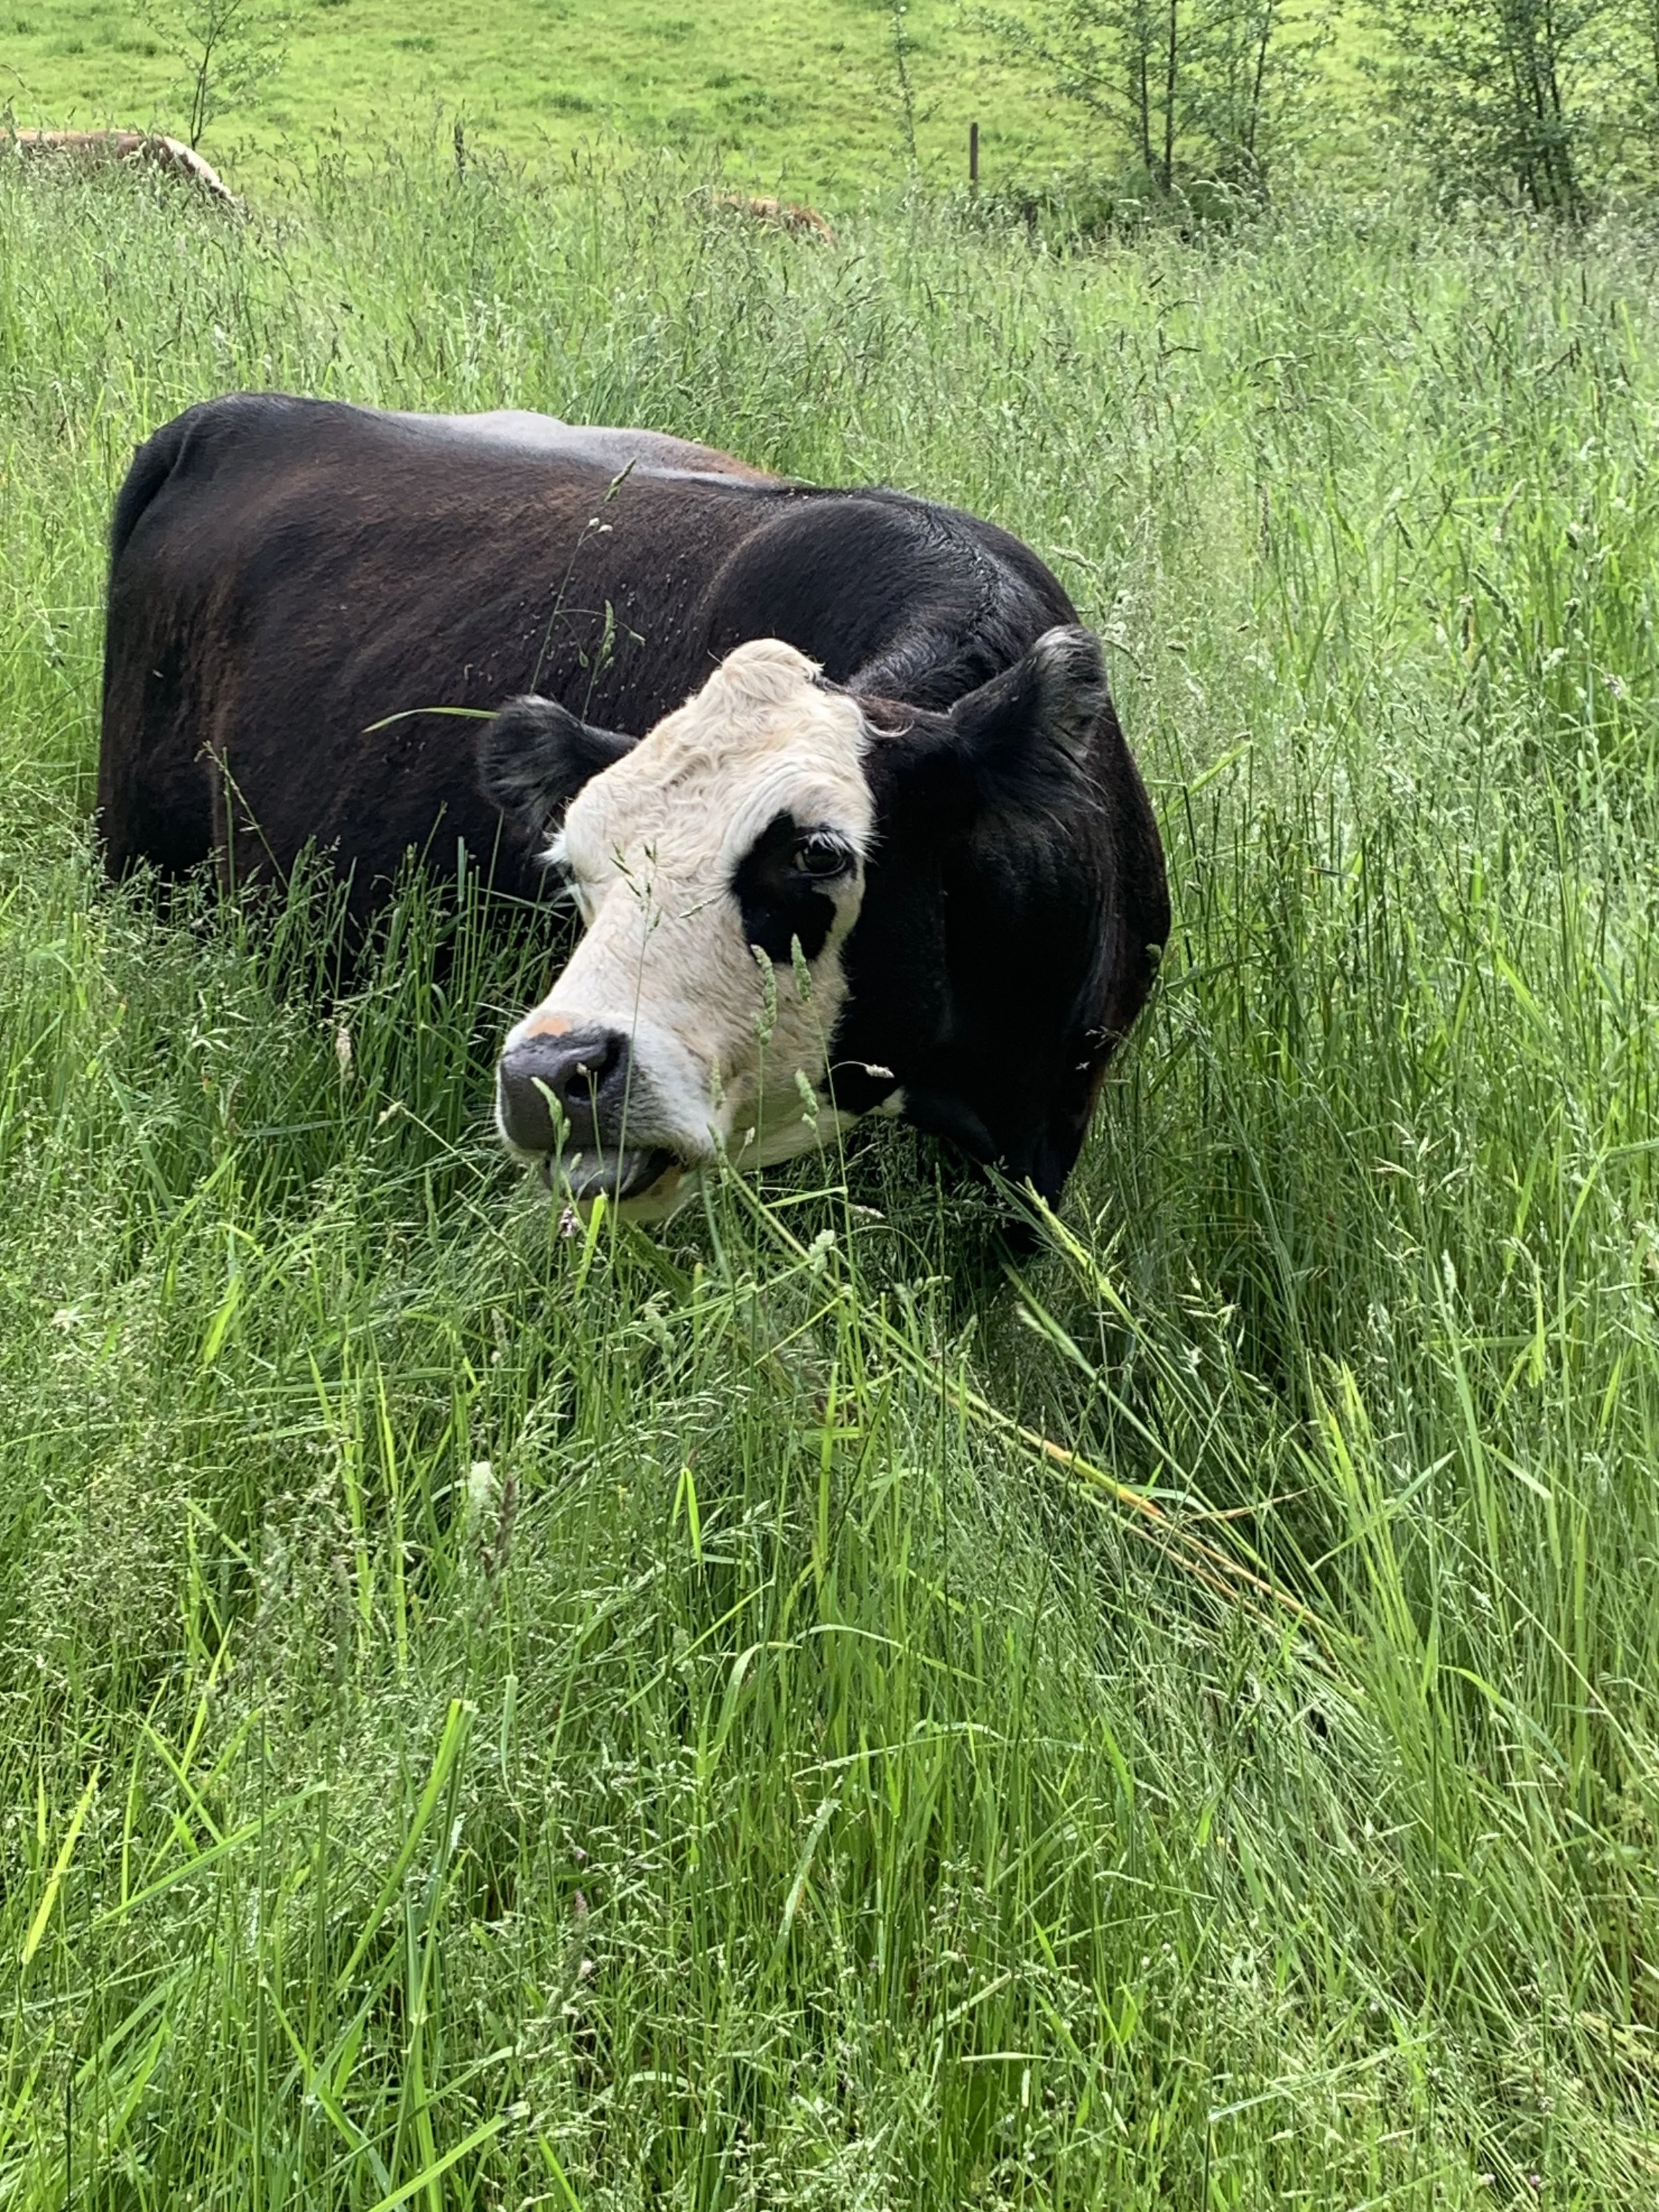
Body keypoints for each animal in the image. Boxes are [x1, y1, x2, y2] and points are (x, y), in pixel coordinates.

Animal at [99, 394, 1168, 1216]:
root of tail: (231, 415)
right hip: (139, 873)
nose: (548, 1076)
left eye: (817, 853)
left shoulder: (1050, 1127)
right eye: (572, 870)